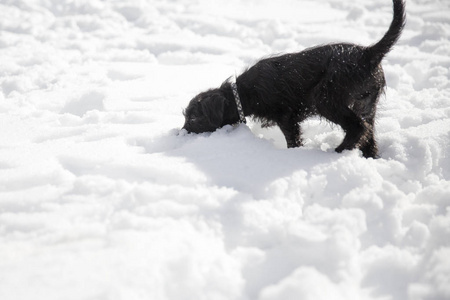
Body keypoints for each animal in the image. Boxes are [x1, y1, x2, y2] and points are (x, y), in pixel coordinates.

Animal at [181, 0, 406, 158]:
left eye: (193, 118)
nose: (180, 134)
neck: (244, 91)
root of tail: (368, 53)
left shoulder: (287, 117)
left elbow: (292, 139)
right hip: (366, 104)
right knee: (368, 133)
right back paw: (369, 157)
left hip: (327, 99)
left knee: (358, 128)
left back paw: (337, 151)